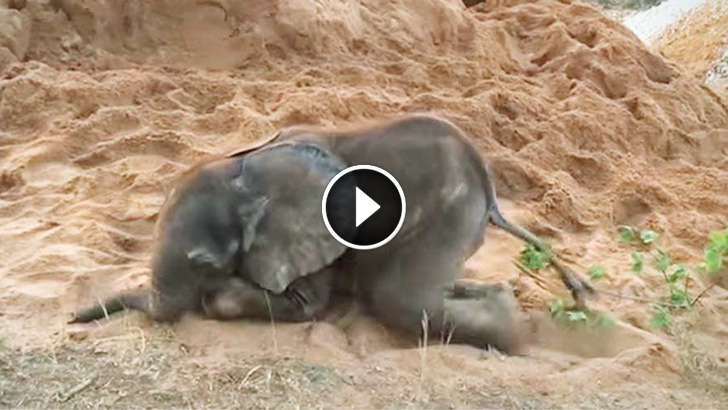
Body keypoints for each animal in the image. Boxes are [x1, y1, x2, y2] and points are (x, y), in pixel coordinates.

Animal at [70, 113, 593, 355]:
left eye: (206, 264)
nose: (74, 320)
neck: (248, 168)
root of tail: (487, 183)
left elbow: (306, 304)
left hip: (446, 213)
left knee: (401, 298)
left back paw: (511, 332)